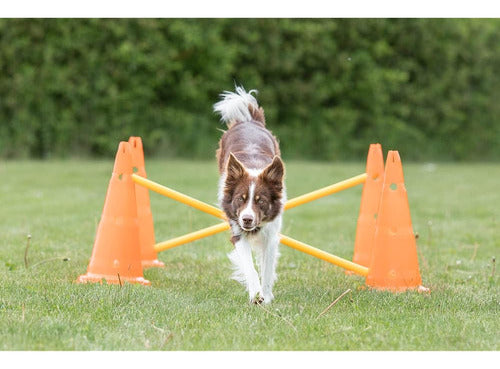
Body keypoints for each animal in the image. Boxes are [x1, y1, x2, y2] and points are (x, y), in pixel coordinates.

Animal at [214, 85, 288, 302]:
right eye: (241, 199)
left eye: (260, 201)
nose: (247, 219)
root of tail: (248, 120)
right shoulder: (237, 231)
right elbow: (250, 266)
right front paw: (256, 294)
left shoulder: (271, 235)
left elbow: (267, 268)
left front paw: (266, 295)